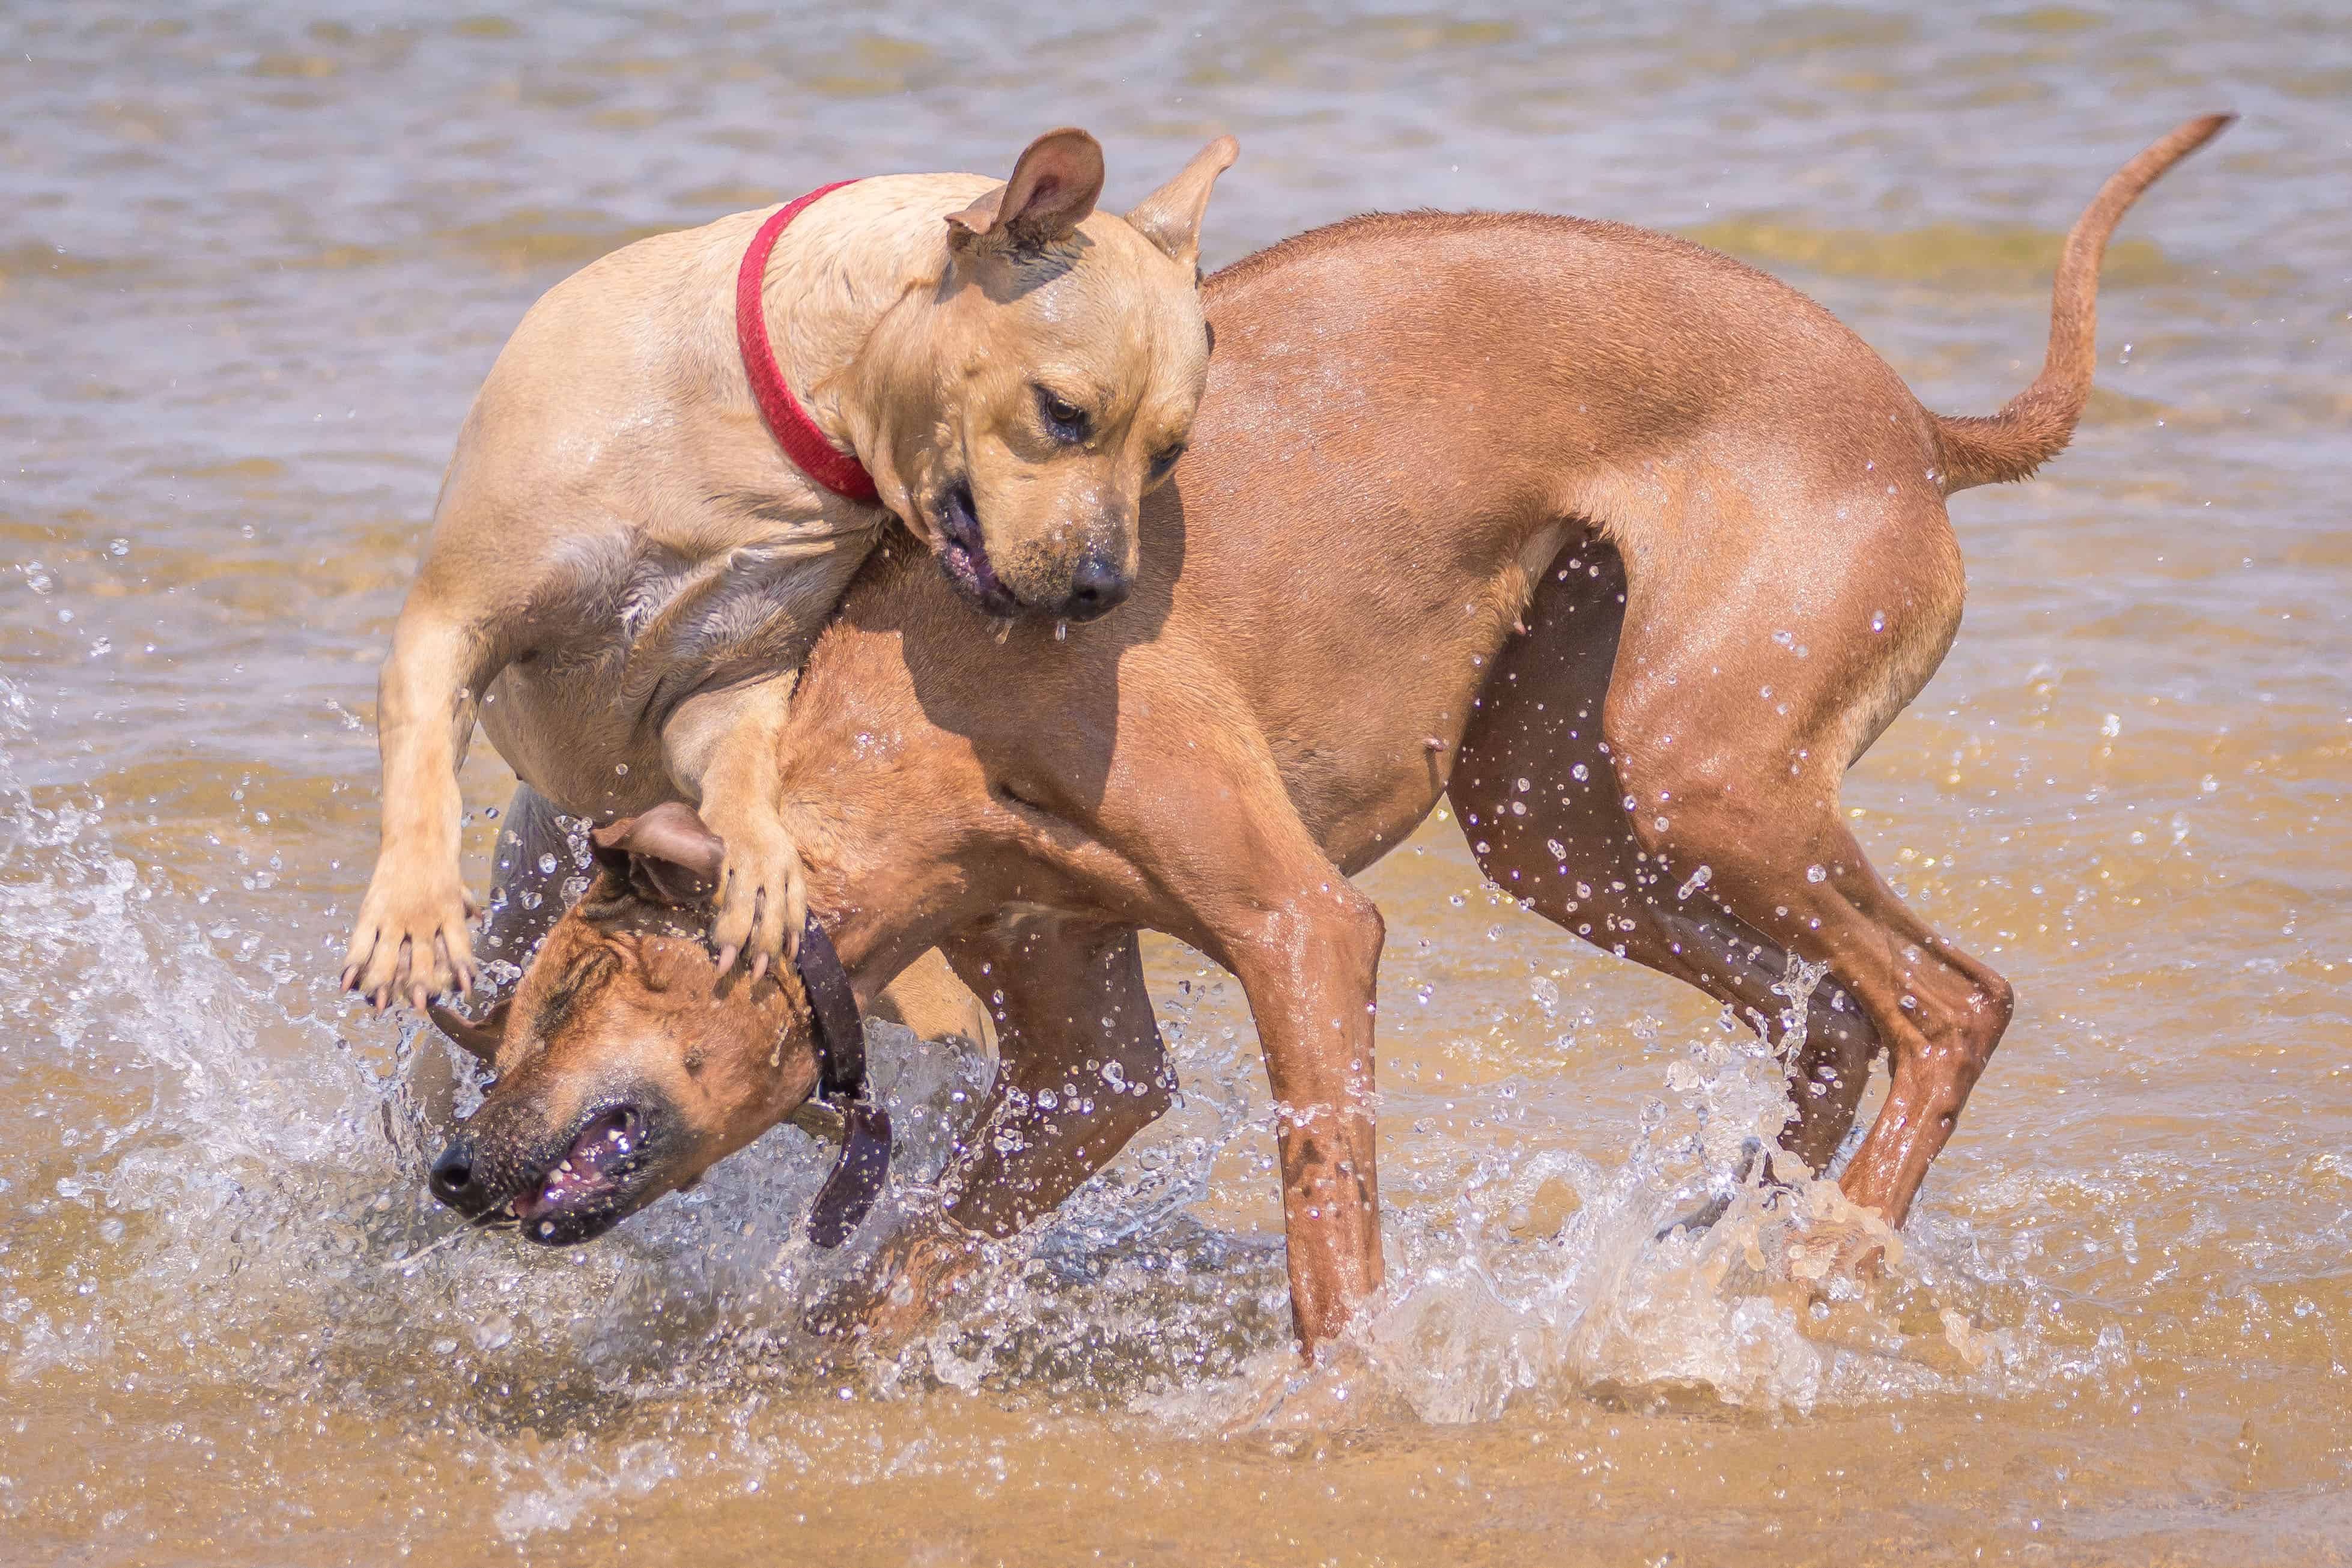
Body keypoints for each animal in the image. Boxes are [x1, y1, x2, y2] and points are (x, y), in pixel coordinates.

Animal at [343, 129, 1251, 1010]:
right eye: (1062, 413)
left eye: (1167, 454)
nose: (1104, 589)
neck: (765, 441)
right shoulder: (454, 617)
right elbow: (425, 759)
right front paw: (415, 911)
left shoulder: (729, 689)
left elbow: (742, 771)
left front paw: (759, 859)